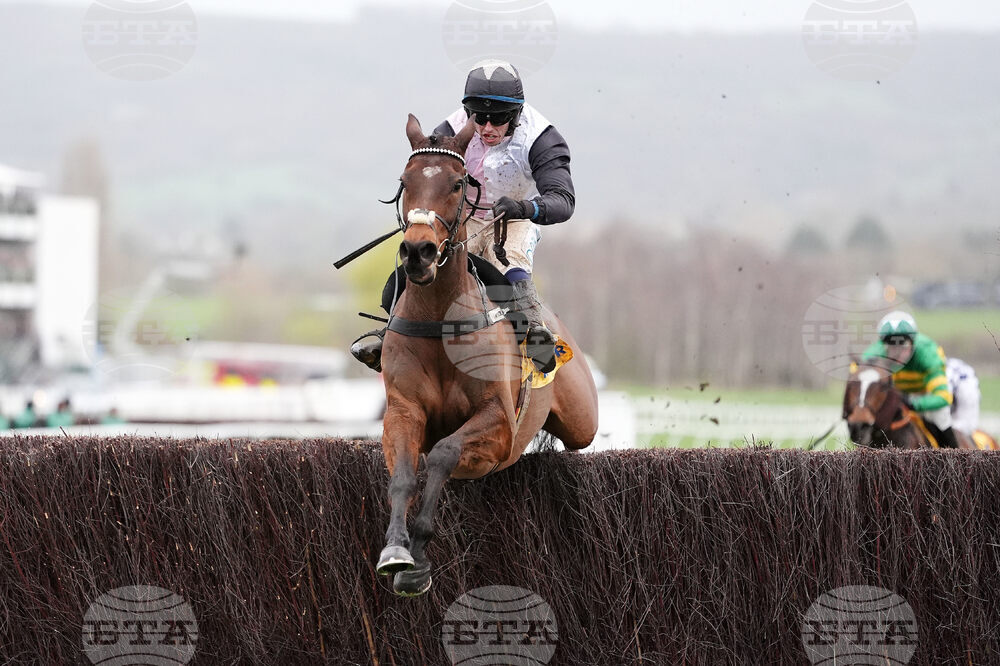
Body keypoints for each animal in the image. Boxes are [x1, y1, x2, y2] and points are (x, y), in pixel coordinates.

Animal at [374, 114, 599, 596]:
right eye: (405, 181)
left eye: (458, 183)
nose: (418, 251)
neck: (440, 321)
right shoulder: (402, 409)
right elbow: (403, 476)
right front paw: (397, 552)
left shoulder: (498, 427)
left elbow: (443, 453)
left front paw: (420, 556)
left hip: (581, 421)